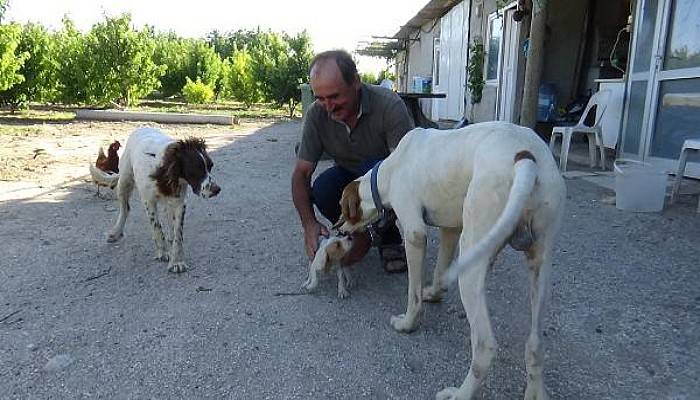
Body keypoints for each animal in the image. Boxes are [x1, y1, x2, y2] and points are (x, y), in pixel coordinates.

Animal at [89, 126, 219, 274]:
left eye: (210, 166)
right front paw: (163, 252)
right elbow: (157, 228)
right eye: (196, 169)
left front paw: (177, 261)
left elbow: (178, 234)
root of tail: (142, 127)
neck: (165, 171)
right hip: (124, 182)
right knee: (125, 209)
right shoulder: (148, 201)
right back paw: (116, 232)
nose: (217, 189)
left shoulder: (179, 202)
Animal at [334, 121, 568, 400]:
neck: (390, 170)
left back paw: (460, 394)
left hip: (472, 263)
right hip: (539, 266)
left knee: (484, 346)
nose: (338, 228)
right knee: (535, 345)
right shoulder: (451, 229)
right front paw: (433, 294)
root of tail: (526, 157)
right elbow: (439, 272)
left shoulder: (415, 234)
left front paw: (407, 323)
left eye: (341, 205)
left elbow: (413, 293)